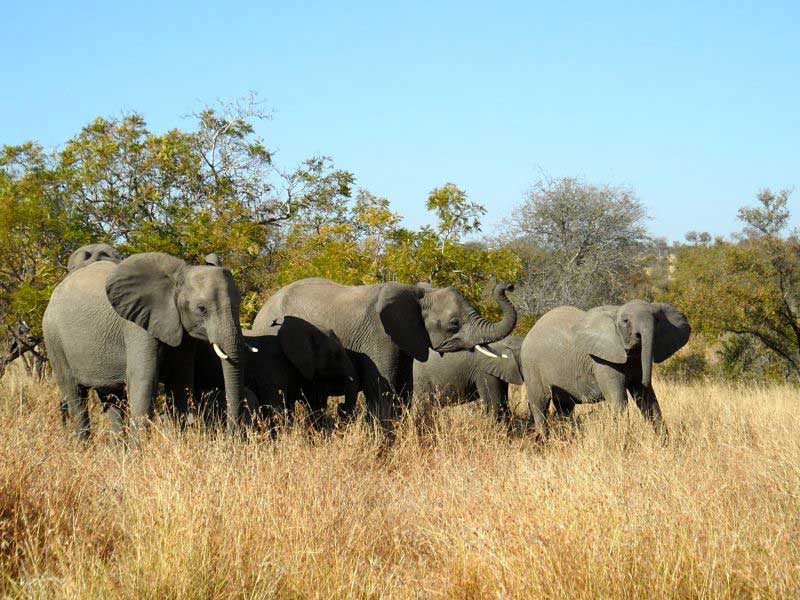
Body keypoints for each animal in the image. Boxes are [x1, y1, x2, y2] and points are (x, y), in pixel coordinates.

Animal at [42, 251, 248, 438]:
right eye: (202, 309)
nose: (232, 437)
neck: (178, 277)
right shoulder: (137, 326)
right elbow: (144, 382)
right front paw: (139, 451)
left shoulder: (182, 330)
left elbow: (181, 383)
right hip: (54, 339)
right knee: (75, 395)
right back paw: (85, 446)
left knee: (112, 399)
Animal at [252, 276, 520, 426]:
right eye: (454, 323)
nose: (509, 285)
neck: (415, 293)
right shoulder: (378, 336)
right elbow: (384, 390)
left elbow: (404, 391)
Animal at [520, 302, 692, 438]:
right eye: (625, 321)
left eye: (657, 320)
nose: (638, 337)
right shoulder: (603, 362)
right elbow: (619, 400)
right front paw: (624, 444)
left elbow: (648, 401)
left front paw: (666, 445)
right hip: (531, 366)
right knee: (540, 404)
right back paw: (544, 441)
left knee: (565, 407)